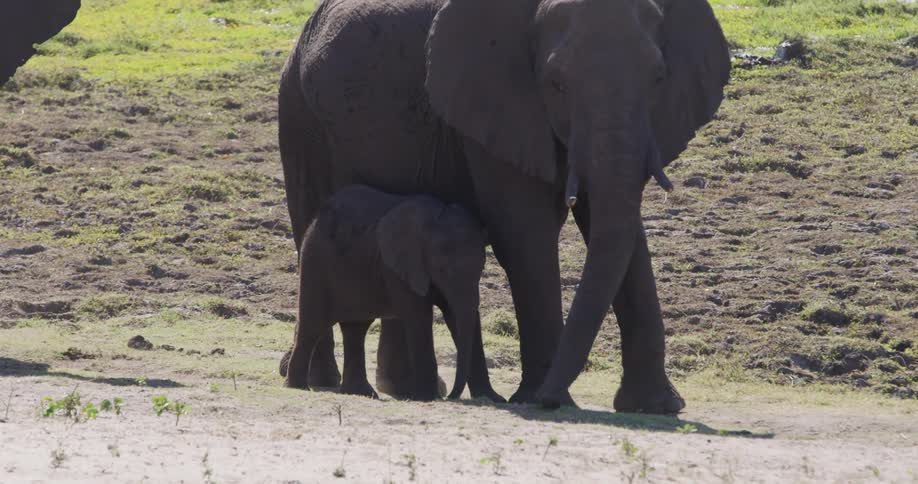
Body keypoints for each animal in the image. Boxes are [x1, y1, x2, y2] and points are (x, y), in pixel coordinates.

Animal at [284, 184, 503, 402]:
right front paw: (427, 397)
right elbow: (419, 317)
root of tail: (315, 218)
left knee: (356, 328)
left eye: (482, 268)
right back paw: (298, 387)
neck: (436, 221)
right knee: (313, 324)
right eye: (441, 270)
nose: (450, 396)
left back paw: (361, 393)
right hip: (316, 261)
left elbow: (454, 316)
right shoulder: (398, 268)